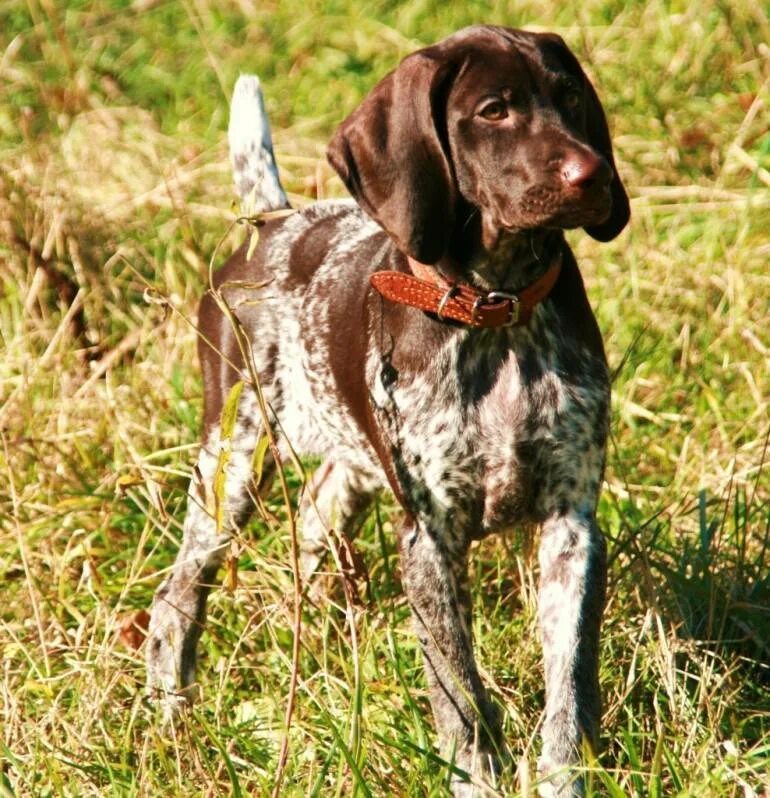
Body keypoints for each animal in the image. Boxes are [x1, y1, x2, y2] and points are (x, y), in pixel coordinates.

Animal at [147, 25, 628, 798]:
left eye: (572, 97)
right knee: (177, 598)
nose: (595, 176)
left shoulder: (572, 524)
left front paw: (563, 778)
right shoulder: (430, 537)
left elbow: (570, 682)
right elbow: (459, 690)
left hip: (348, 461)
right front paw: (477, 779)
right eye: (493, 111)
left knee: (313, 519)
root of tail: (272, 220)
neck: (498, 310)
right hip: (233, 462)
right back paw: (174, 724)